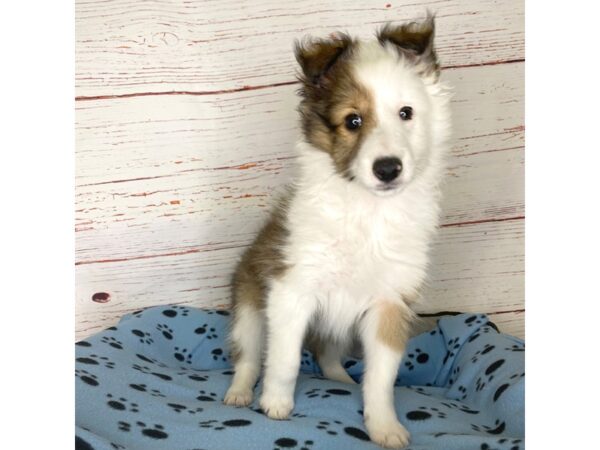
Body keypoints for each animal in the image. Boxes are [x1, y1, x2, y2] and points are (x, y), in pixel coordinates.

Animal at [224, 14, 450, 450]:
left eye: (406, 113)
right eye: (353, 121)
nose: (388, 168)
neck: (369, 211)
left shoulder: (388, 303)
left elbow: (381, 378)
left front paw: (384, 427)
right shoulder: (292, 289)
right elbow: (284, 359)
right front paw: (276, 405)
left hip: (340, 329)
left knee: (326, 353)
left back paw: (341, 380)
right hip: (249, 306)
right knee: (249, 355)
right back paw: (240, 394)